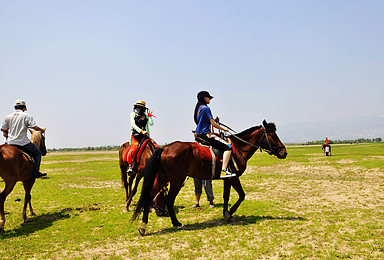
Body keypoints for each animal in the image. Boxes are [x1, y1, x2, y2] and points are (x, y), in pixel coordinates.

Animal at [134, 120, 286, 236]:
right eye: (273, 135)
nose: (284, 152)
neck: (239, 148)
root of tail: (164, 149)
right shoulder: (234, 177)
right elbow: (242, 195)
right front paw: (230, 212)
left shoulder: (227, 179)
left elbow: (226, 196)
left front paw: (226, 213)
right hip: (176, 180)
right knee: (169, 200)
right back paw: (176, 223)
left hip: (162, 178)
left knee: (149, 196)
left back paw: (143, 226)